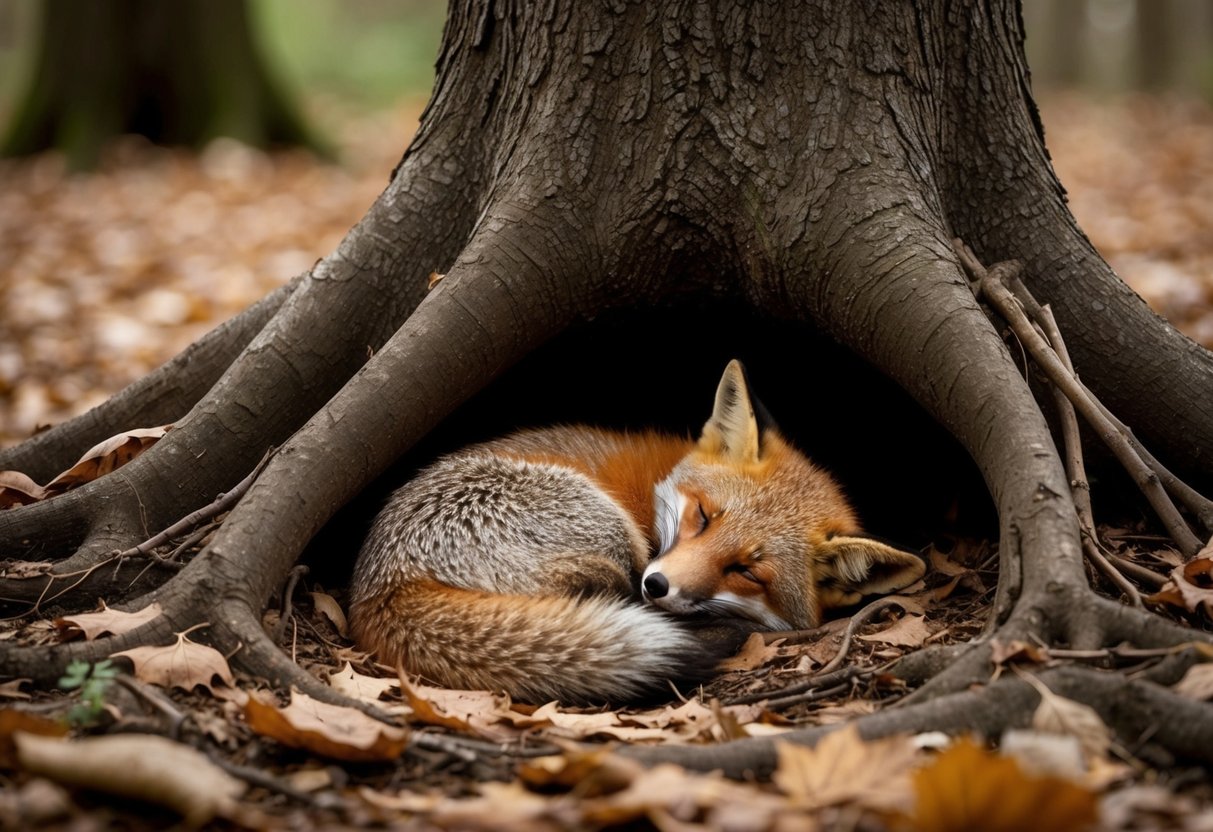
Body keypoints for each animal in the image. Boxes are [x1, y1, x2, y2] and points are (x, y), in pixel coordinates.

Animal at [348, 360, 924, 704]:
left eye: (746, 571)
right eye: (703, 516)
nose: (658, 585)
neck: (654, 484)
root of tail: (382, 587)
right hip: (607, 528)